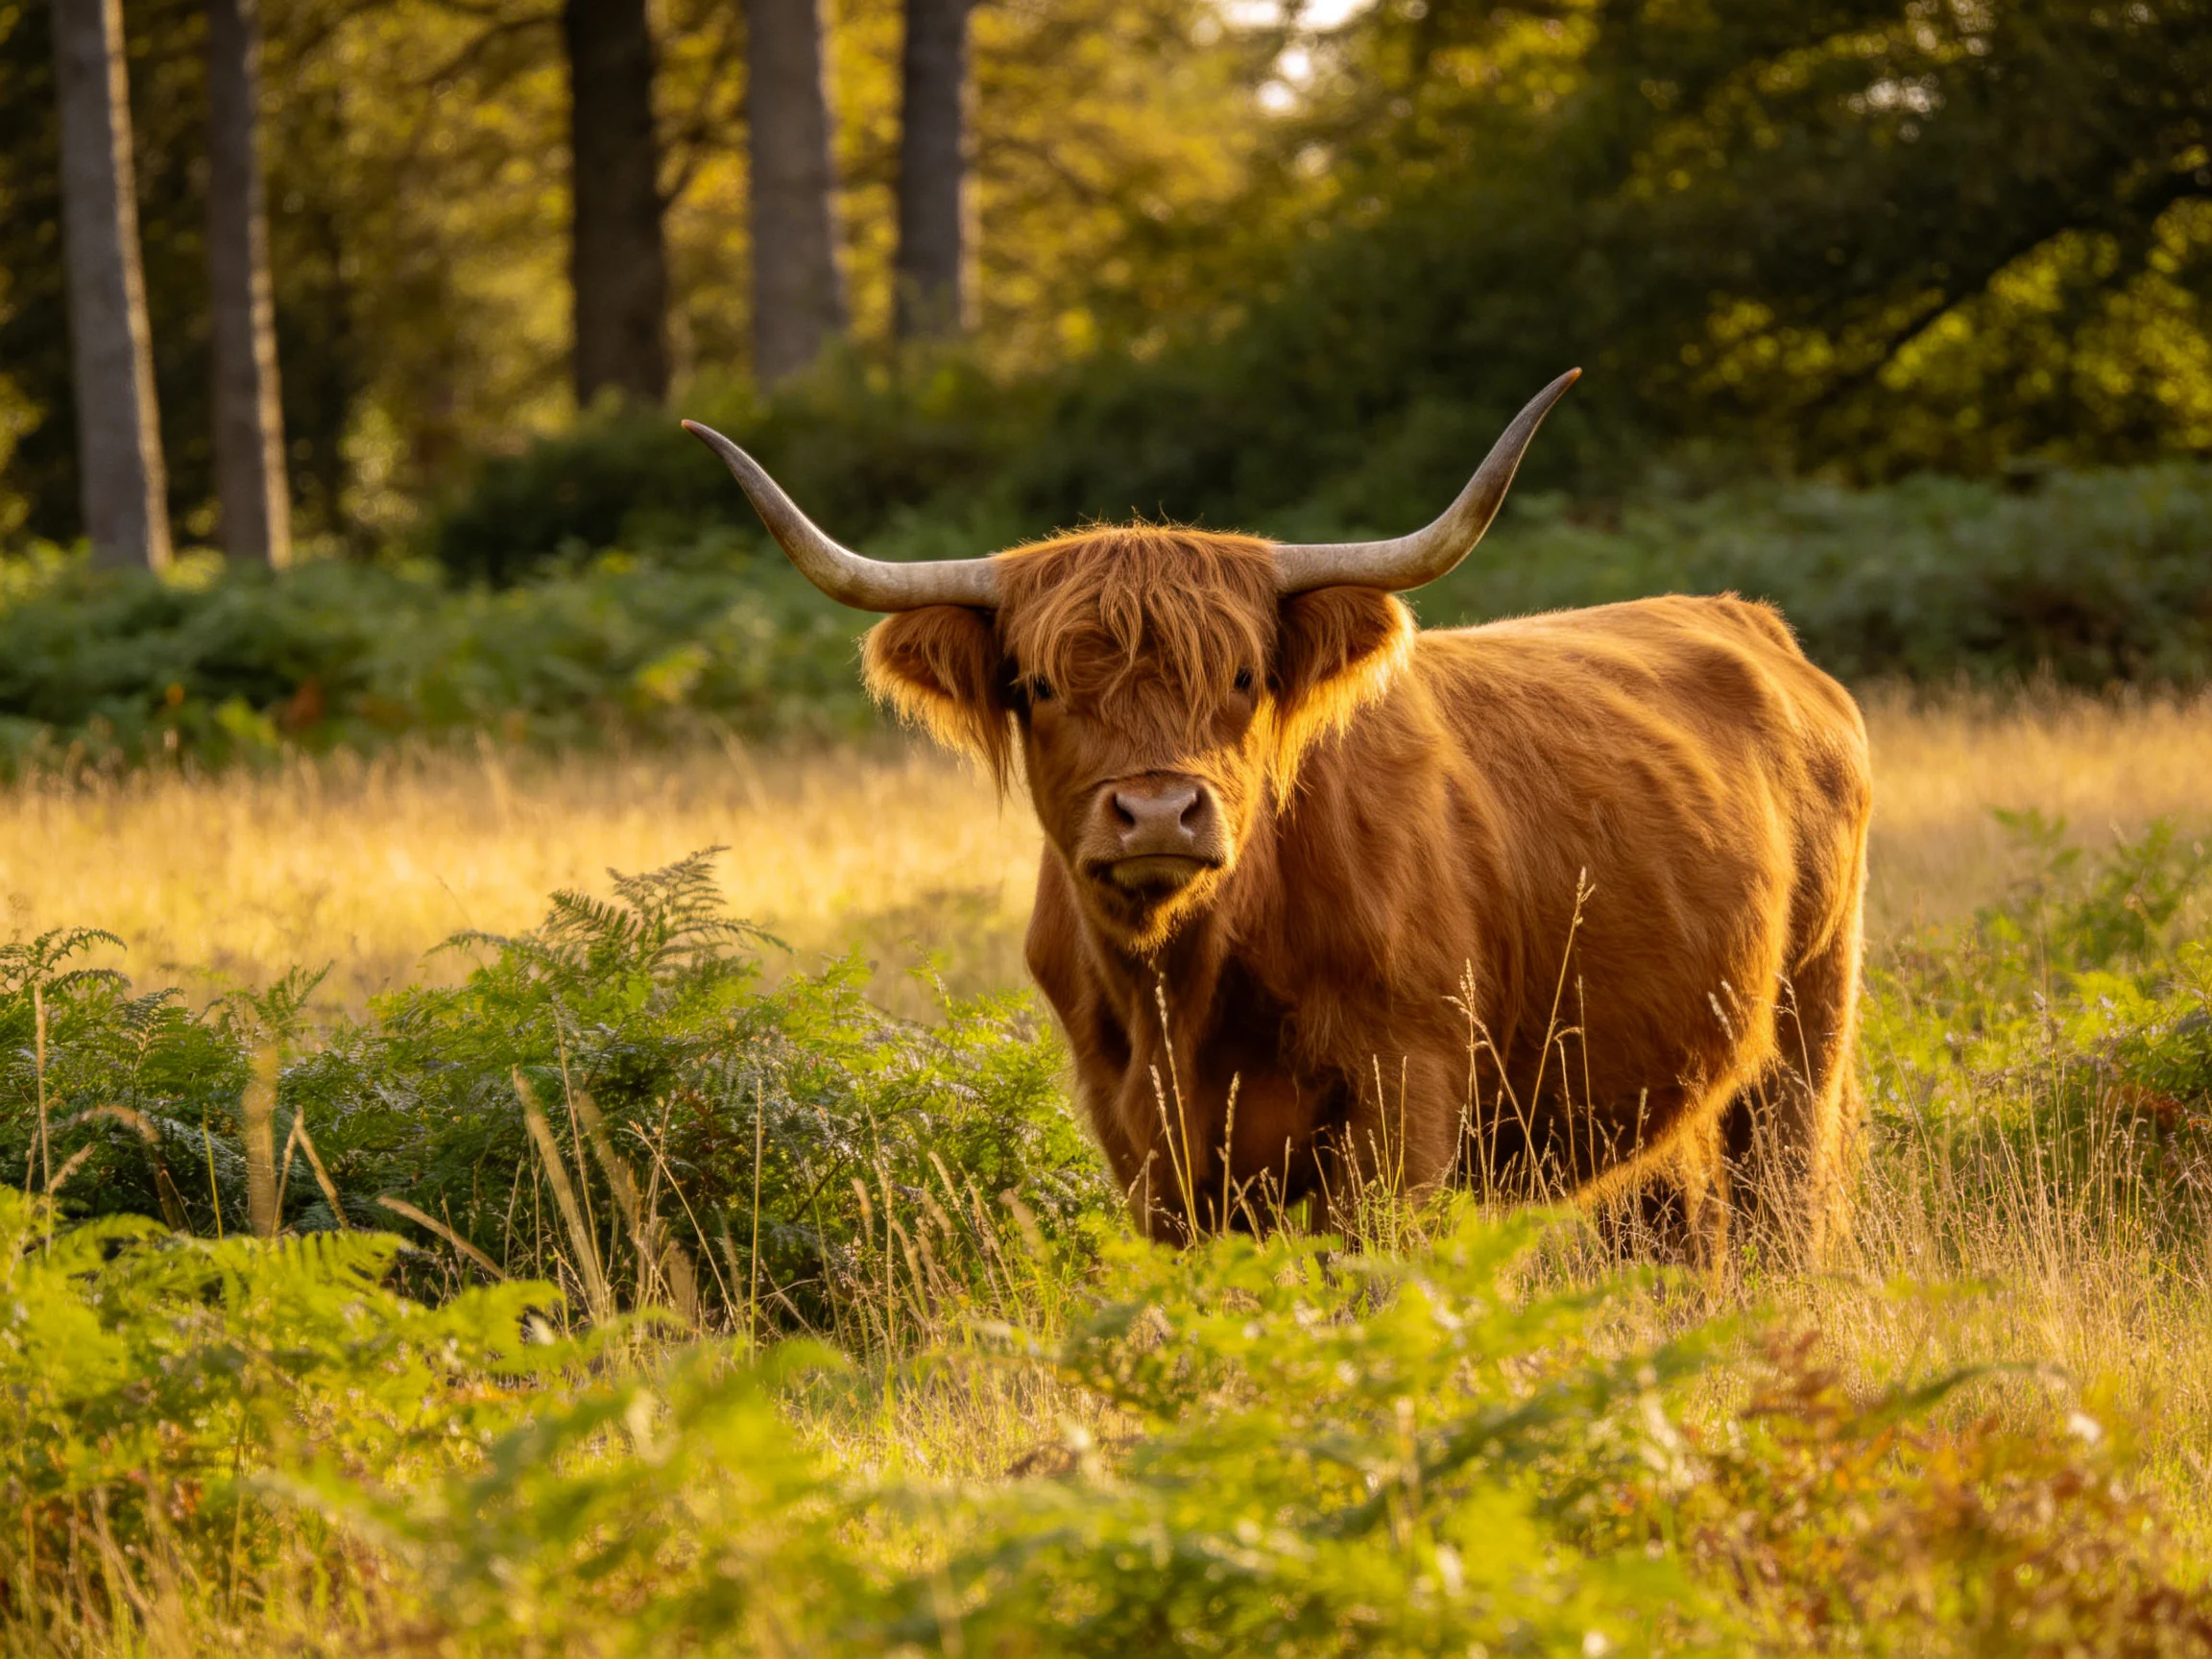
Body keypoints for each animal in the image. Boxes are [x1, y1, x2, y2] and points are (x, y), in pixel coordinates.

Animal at [683, 371, 1872, 1265]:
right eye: (1039, 684)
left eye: (1245, 675)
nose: (1158, 811)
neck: (1192, 979)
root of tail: (1747, 621)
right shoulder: (1142, 1136)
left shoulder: (1406, 1096)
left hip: (1801, 1038)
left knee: (1781, 1215)